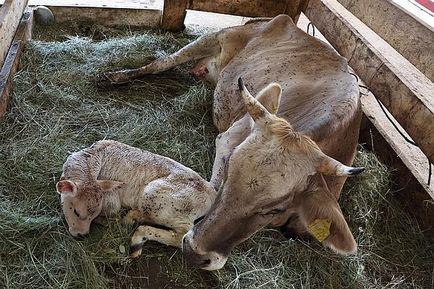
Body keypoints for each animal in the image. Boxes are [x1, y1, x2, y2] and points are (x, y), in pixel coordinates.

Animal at [97, 14, 362, 270]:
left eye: (275, 208)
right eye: (228, 171)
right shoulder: (228, 139)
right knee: (162, 62)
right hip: (216, 36)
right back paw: (115, 76)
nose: (194, 253)